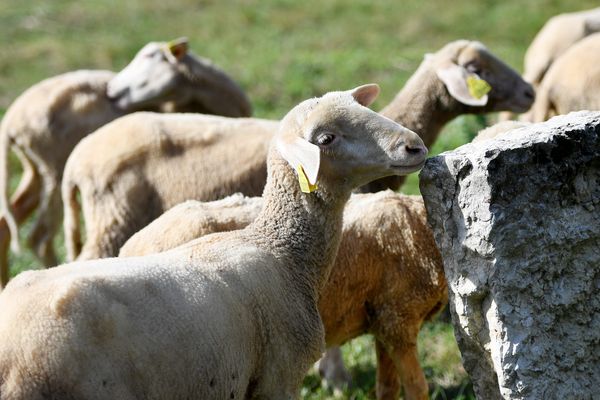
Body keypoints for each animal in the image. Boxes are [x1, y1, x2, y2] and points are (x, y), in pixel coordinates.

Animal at [0, 37, 251, 288]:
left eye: (150, 57)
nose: (110, 91)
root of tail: (11, 121)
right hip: (55, 170)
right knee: (40, 238)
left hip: (36, 169)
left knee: (11, 222)